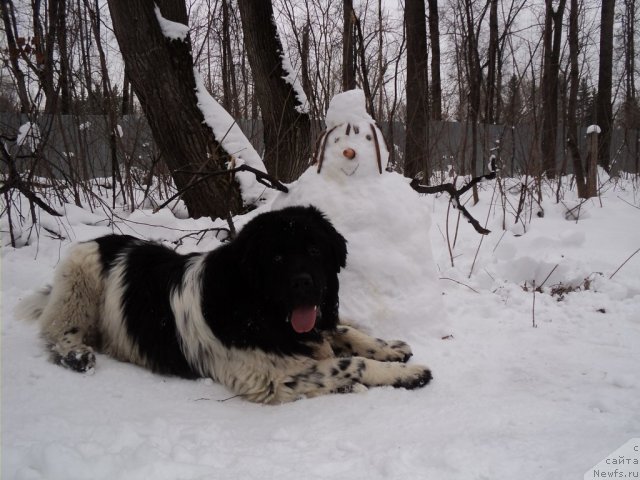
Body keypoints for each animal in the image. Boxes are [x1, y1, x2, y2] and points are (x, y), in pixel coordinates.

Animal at [18, 206, 430, 404]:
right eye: (276, 258)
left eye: (315, 250)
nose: (303, 284)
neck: (257, 308)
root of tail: (106, 241)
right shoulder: (269, 375)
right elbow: (351, 364)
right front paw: (406, 374)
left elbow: (344, 332)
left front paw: (390, 348)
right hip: (80, 277)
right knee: (57, 331)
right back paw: (77, 355)